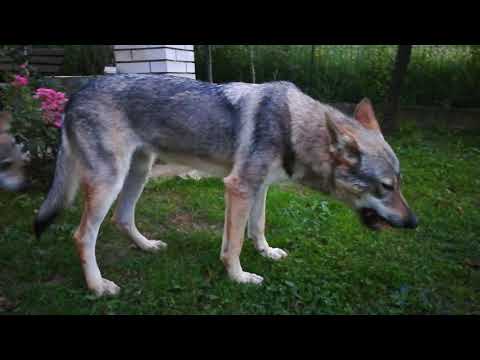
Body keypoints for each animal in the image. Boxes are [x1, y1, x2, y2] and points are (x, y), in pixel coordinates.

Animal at [32, 74, 416, 296]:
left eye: (399, 184)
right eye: (385, 187)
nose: (414, 223)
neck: (293, 127)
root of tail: (75, 94)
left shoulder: (258, 188)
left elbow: (256, 228)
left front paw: (267, 253)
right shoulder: (239, 187)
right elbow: (234, 245)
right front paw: (239, 278)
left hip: (137, 173)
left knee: (123, 218)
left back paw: (148, 247)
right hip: (109, 182)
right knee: (83, 235)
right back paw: (98, 286)